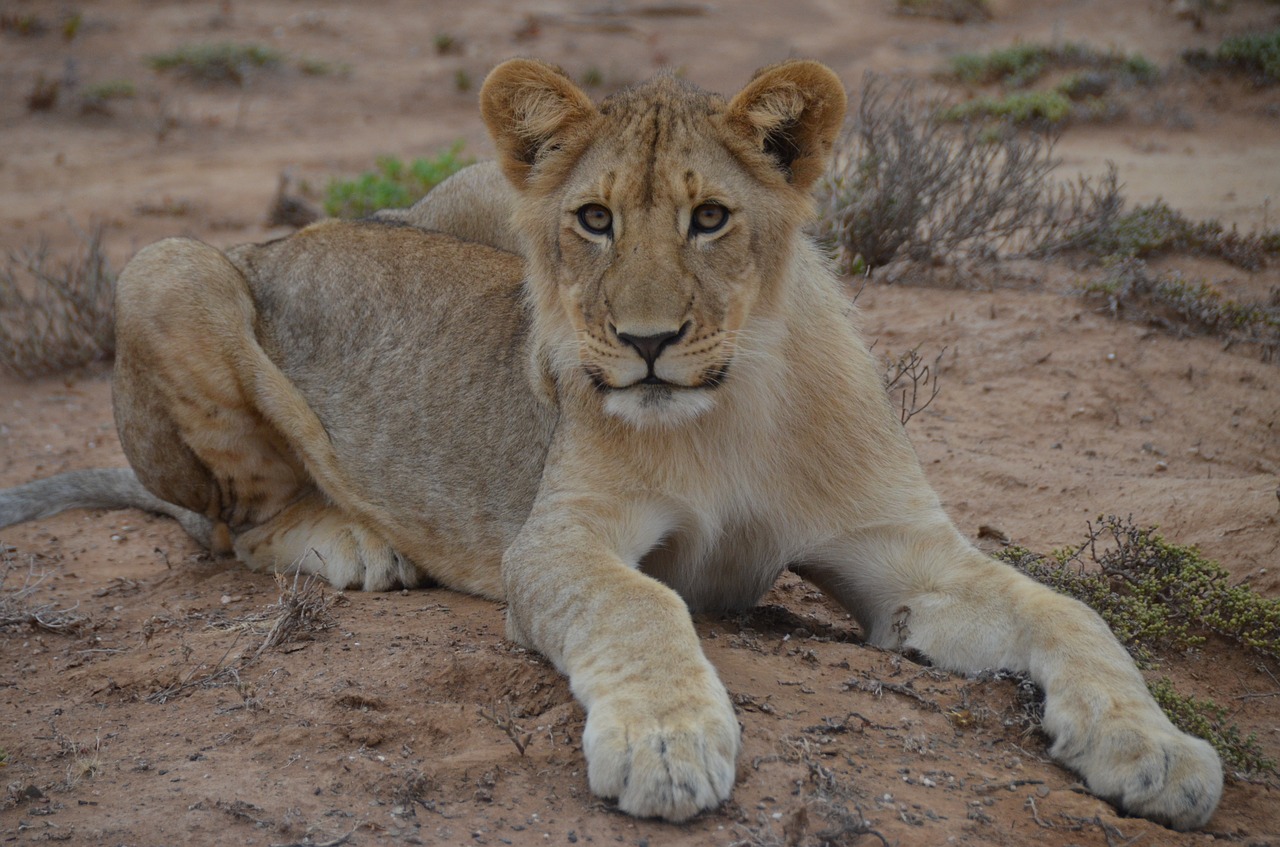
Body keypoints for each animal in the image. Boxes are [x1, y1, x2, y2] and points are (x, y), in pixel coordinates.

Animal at [0, 59, 1218, 829]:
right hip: (170, 267)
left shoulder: (909, 557)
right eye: (593, 221)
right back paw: (349, 544)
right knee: (226, 520)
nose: (642, 344)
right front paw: (668, 746)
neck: (731, 409)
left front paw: (1156, 751)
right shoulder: (556, 542)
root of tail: (281, 237)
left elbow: (1071, 611)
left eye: (709, 218)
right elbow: (643, 603)